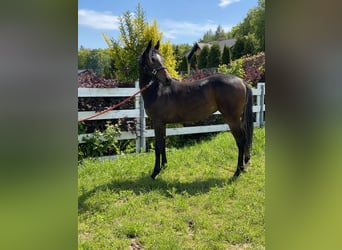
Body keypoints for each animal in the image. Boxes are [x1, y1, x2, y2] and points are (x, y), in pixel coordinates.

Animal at [138, 40, 252, 179]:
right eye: (152, 59)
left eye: (161, 59)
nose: (168, 80)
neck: (157, 90)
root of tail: (241, 81)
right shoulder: (162, 123)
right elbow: (163, 143)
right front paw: (164, 166)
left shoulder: (157, 122)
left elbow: (158, 146)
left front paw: (155, 172)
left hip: (232, 119)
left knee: (240, 141)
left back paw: (237, 171)